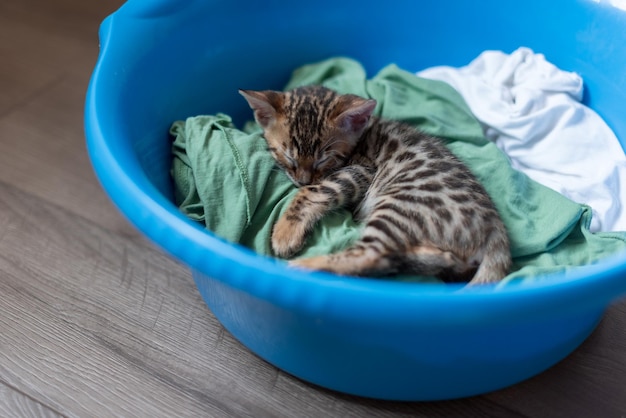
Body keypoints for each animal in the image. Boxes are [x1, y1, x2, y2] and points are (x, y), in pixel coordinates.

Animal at [236, 85, 510, 284]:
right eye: (288, 157)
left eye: (323, 158)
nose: (302, 179)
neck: (362, 135)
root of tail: (496, 230)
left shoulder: (362, 171)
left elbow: (314, 191)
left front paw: (285, 232)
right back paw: (437, 258)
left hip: (401, 206)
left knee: (372, 255)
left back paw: (303, 266)